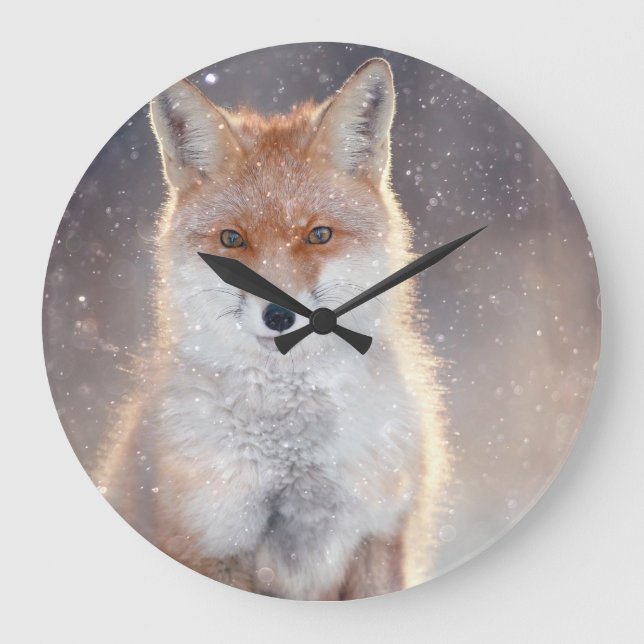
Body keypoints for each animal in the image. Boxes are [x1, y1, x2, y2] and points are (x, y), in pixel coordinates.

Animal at [94, 58, 450, 600]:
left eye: (319, 235)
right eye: (232, 239)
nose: (280, 316)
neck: (292, 451)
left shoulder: (379, 534)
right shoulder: (211, 542)